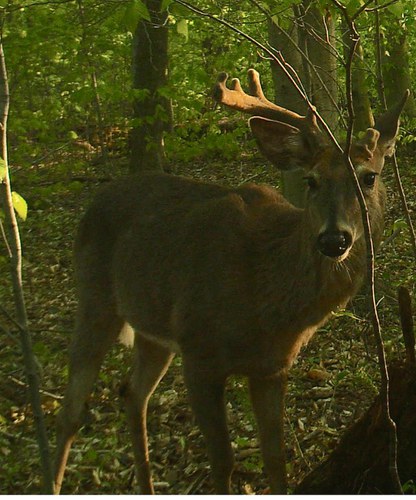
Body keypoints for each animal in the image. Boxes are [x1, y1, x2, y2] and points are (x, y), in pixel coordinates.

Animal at [53, 68, 408, 494]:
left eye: (369, 178)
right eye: (310, 181)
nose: (333, 240)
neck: (269, 306)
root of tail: (95, 200)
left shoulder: (273, 368)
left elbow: (276, 460)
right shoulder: (199, 353)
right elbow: (223, 462)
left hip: (154, 328)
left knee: (132, 393)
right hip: (95, 298)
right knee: (70, 411)